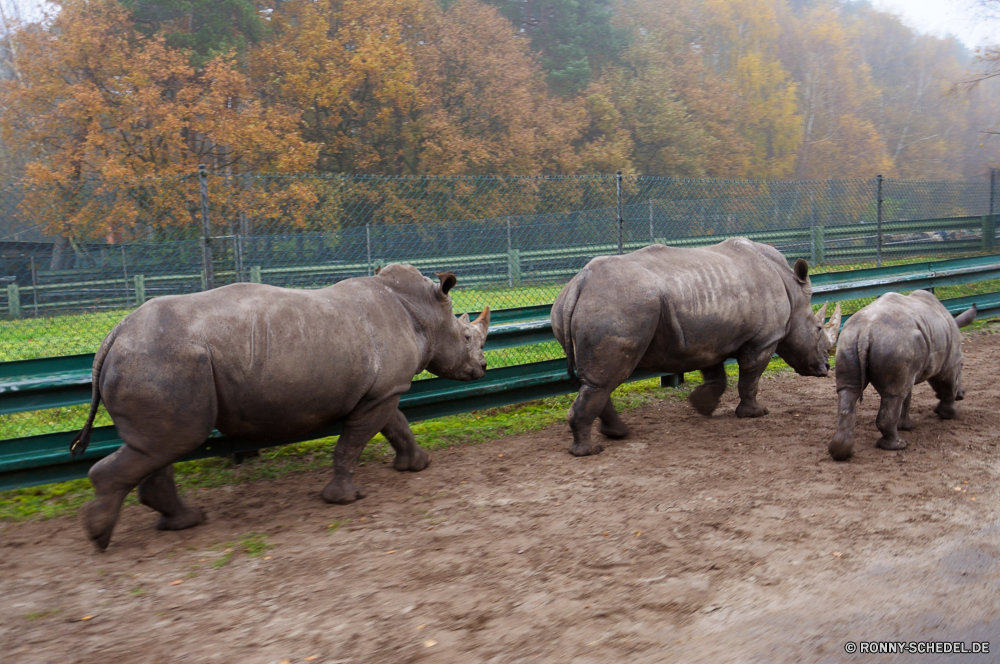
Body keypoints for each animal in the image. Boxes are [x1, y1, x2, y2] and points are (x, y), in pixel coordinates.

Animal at [68, 264, 490, 548]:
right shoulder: (384, 391)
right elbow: (353, 443)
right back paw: (100, 536)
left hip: (156, 363)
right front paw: (344, 499)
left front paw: (418, 465)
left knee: (159, 445)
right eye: (467, 336)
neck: (424, 314)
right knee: (170, 443)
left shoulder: (383, 390)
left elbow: (396, 425)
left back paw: (185, 522)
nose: (484, 367)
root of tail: (112, 336)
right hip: (161, 360)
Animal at [552, 239, 840, 456]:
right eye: (818, 328)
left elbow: (716, 375)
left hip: (584, 305)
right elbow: (750, 377)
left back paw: (617, 434)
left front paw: (702, 405)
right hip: (619, 305)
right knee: (607, 379)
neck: (791, 289)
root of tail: (579, 284)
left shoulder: (709, 339)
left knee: (599, 380)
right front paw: (755, 413)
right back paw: (589, 451)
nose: (827, 367)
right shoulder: (764, 339)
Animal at [828, 290, 976, 462]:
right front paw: (950, 414)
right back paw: (899, 445)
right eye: (963, 366)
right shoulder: (950, 362)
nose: (962, 395)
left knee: (851, 391)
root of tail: (865, 331)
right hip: (895, 343)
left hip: (849, 341)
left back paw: (841, 453)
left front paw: (905, 426)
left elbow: (907, 396)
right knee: (893, 395)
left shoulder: (910, 367)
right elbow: (948, 385)